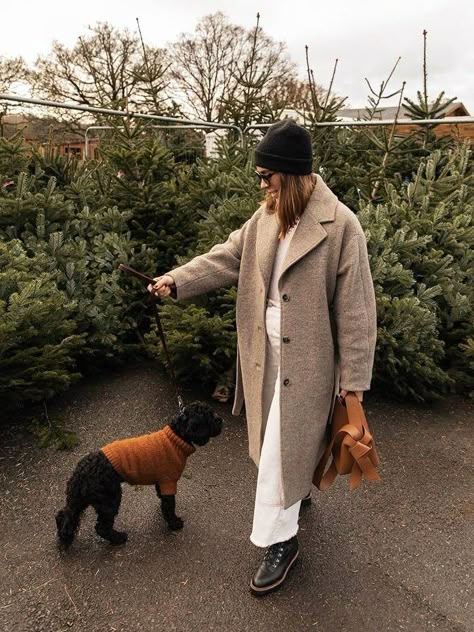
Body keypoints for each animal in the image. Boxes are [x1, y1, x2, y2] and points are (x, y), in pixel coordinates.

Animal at [56, 402, 224, 544]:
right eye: (208, 416)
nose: (221, 420)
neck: (176, 437)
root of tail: (79, 473)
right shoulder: (168, 481)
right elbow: (169, 506)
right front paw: (174, 523)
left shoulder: (161, 482)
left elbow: (163, 500)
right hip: (110, 498)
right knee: (101, 527)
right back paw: (118, 538)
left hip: (79, 499)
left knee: (65, 515)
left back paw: (65, 536)